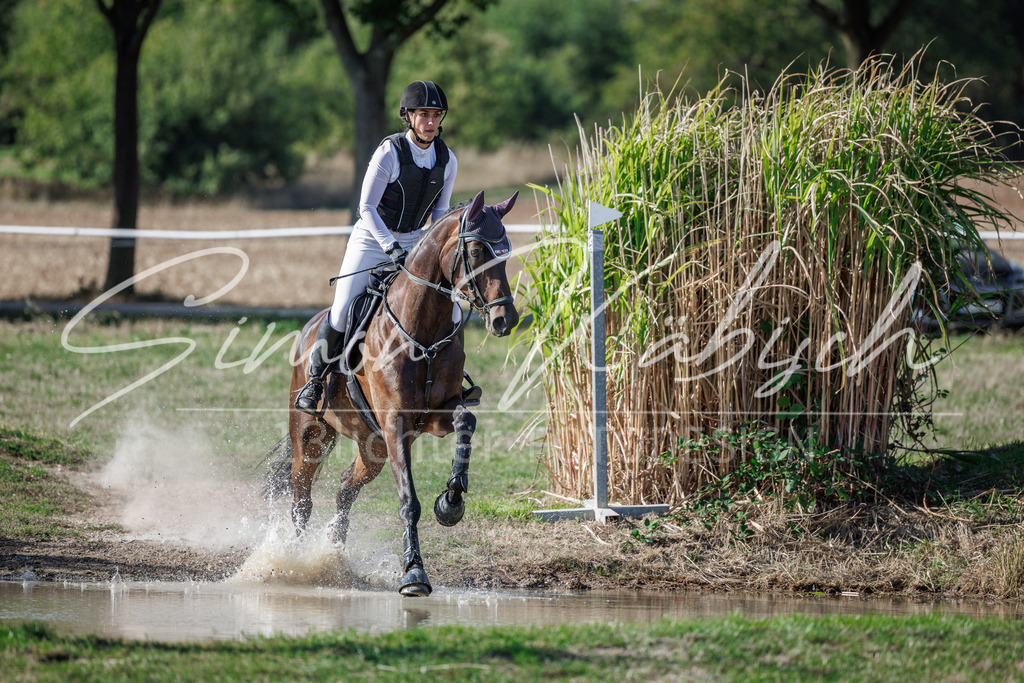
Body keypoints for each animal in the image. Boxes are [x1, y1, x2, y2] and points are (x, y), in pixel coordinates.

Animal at [264, 189, 520, 596]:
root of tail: (308, 329)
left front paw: (451, 502)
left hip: (373, 447)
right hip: (312, 435)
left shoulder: (435, 416)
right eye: (478, 250)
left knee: (345, 487)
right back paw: (294, 559)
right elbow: (408, 501)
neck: (423, 330)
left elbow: (466, 420)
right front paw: (414, 573)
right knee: (301, 496)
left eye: (506, 252)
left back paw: (333, 553)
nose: (504, 320)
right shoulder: (395, 423)